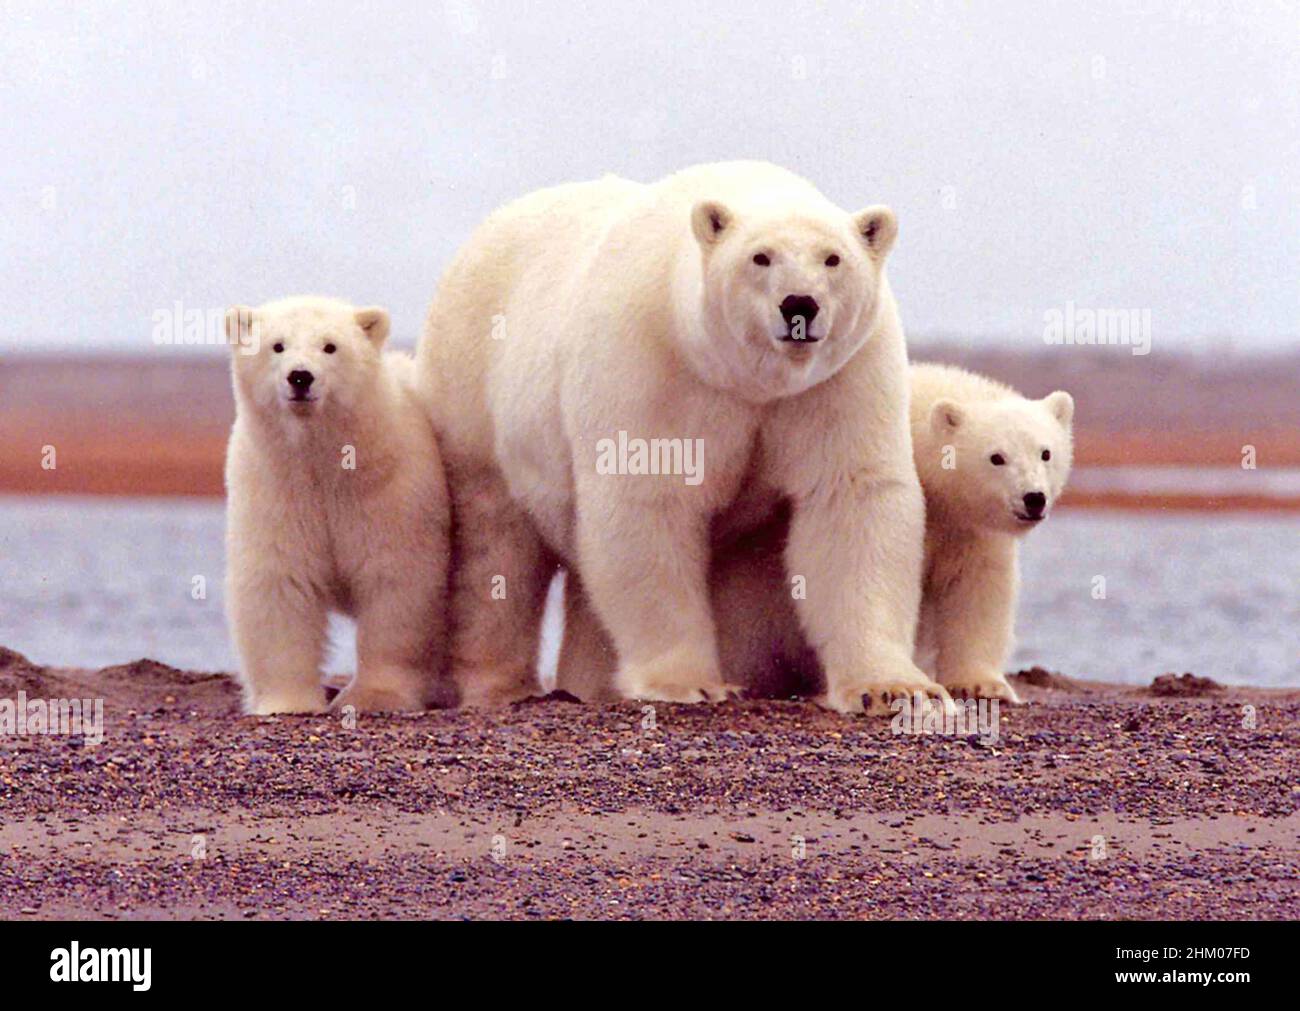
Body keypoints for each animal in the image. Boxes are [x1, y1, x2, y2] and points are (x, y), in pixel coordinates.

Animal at [223, 296, 451, 715]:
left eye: (330, 346)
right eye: (277, 345)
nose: (300, 377)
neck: (324, 463)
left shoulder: (389, 489)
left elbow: (396, 582)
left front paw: (374, 696)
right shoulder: (276, 488)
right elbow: (280, 581)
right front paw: (288, 701)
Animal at [415, 160, 948, 714]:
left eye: (833, 258)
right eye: (761, 257)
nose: (799, 305)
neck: (745, 379)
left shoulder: (839, 378)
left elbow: (851, 497)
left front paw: (893, 688)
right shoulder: (653, 362)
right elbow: (649, 501)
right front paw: (689, 682)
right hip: (474, 392)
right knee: (495, 547)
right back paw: (500, 684)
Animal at [623, 361, 1075, 704]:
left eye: (1045, 452)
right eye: (996, 457)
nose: (1033, 498)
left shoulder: (968, 529)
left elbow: (977, 589)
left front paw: (982, 685)